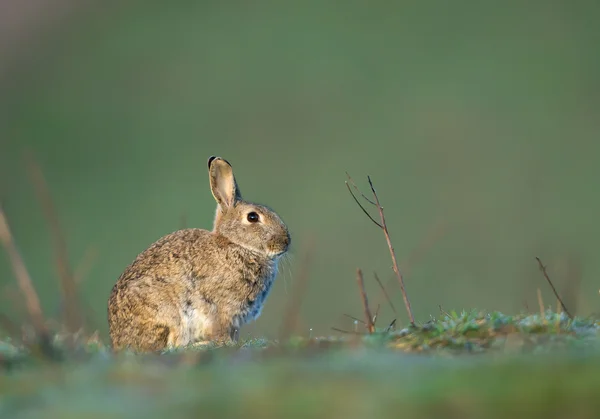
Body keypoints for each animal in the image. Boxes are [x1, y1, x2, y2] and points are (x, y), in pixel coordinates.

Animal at [107, 156, 290, 352]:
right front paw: (226, 344)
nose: (286, 242)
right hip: (170, 314)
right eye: (253, 217)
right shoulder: (222, 309)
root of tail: (118, 339)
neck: (236, 244)